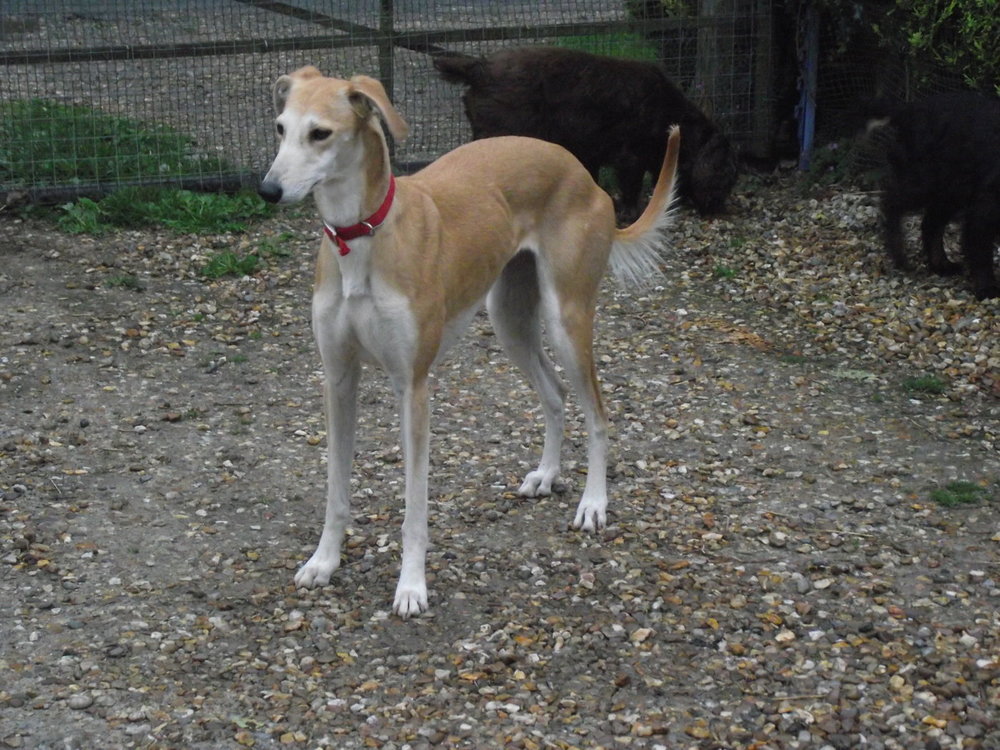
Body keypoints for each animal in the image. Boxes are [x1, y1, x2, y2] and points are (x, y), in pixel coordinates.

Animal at [258, 67, 679, 617]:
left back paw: (593, 504)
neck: (364, 237)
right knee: (555, 394)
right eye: (281, 128)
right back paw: (546, 475)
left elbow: (415, 505)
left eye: (321, 133)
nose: (266, 189)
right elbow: (336, 489)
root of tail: (579, 169)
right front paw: (324, 562)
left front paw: (411, 587)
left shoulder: (413, 387)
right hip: (510, 321)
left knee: (598, 412)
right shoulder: (338, 378)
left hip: (567, 320)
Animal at [432, 45, 736, 219]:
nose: (720, 211)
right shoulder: (629, 156)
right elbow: (630, 185)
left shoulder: (589, 151)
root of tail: (479, 67)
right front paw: (628, 213)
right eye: (724, 174)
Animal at [865, 92, 1000, 300]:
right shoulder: (986, 206)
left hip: (949, 191)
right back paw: (899, 254)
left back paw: (941, 265)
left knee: (931, 224)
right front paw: (987, 288)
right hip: (925, 181)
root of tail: (909, 109)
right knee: (891, 203)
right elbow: (979, 247)